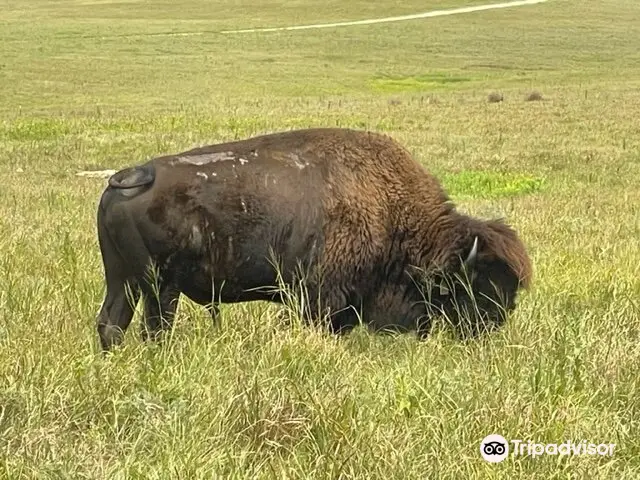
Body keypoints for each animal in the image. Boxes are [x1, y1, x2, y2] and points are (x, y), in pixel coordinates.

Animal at [96, 127, 528, 350]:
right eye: (478, 283)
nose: (493, 325)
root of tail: (133, 175)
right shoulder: (321, 298)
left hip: (123, 280)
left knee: (111, 323)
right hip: (160, 287)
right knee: (154, 328)